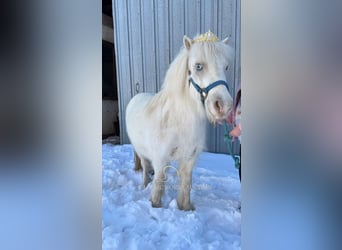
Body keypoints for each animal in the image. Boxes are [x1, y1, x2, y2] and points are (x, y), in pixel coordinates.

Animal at [126, 31, 235, 211]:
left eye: (226, 67)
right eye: (198, 66)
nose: (223, 106)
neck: (177, 121)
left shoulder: (189, 159)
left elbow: (186, 184)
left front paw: (185, 208)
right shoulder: (160, 159)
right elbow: (158, 185)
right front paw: (155, 206)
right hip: (141, 152)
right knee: (145, 168)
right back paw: (144, 185)